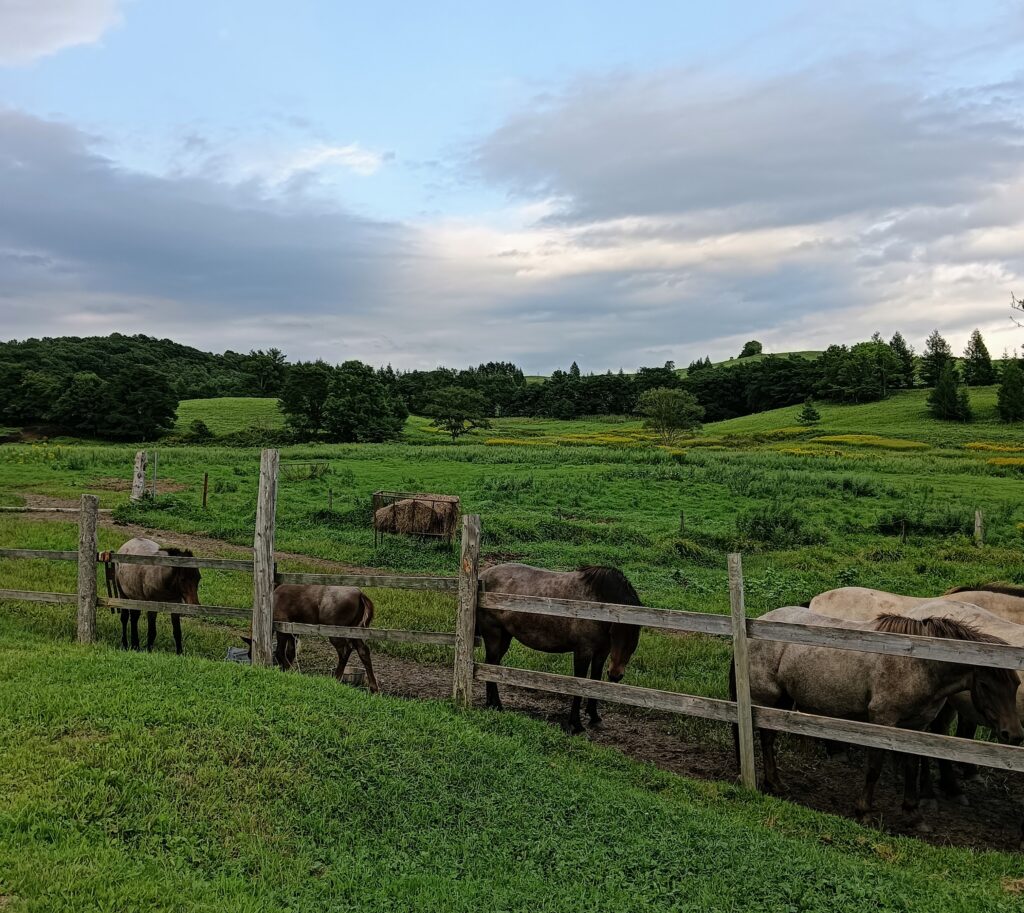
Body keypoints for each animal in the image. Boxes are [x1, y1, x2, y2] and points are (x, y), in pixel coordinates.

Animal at [477, 564, 638, 732]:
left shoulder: (602, 652)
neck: (597, 606)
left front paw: (594, 717)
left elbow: (595, 680)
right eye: (614, 633)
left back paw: (492, 704)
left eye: (634, 639)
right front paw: (576, 724)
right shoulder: (583, 652)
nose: (615, 675)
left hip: (505, 637)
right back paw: (497, 705)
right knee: (491, 665)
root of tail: (483, 576)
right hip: (494, 635)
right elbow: (579, 685)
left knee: (491, 666)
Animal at [741, 605, 1019, 827]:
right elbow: (874, 767)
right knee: (766, 739)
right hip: (768, 699)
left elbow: (911, 767)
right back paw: (774, 784)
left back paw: (774, 783)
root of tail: (757, 622)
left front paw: (913, 814)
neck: (919, 662)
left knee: (769, 738)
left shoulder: (914, 726)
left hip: (783, 701)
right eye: (985, 685)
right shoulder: (882, 720)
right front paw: (864, 811)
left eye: (1016, 684)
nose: (1013, 733)